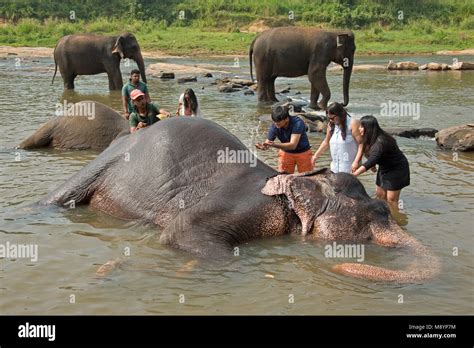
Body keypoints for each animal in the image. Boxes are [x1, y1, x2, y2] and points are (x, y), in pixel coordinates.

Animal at [39, 117, 438, 282]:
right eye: (375, 214)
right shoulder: (242, 202)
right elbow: (179, 231)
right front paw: (182, 270)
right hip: (98, 167)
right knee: (56, 199)